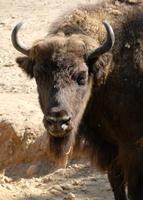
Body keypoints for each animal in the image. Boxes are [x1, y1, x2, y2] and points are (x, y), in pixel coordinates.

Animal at [11, 0, 143, 200]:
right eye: (38, 75)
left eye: (81, 76)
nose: (58, 121)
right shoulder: (109, 147)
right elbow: (117, 184)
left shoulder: (133, 149)